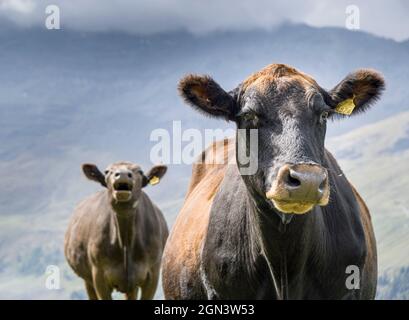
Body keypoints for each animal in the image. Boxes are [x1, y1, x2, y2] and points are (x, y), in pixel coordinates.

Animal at [64, 161, 168, 298]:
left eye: (139, 172)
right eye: (107, 171)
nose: (122, 174)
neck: (126, 243)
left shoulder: (153, 273)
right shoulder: (98, 274)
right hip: (87, 279)